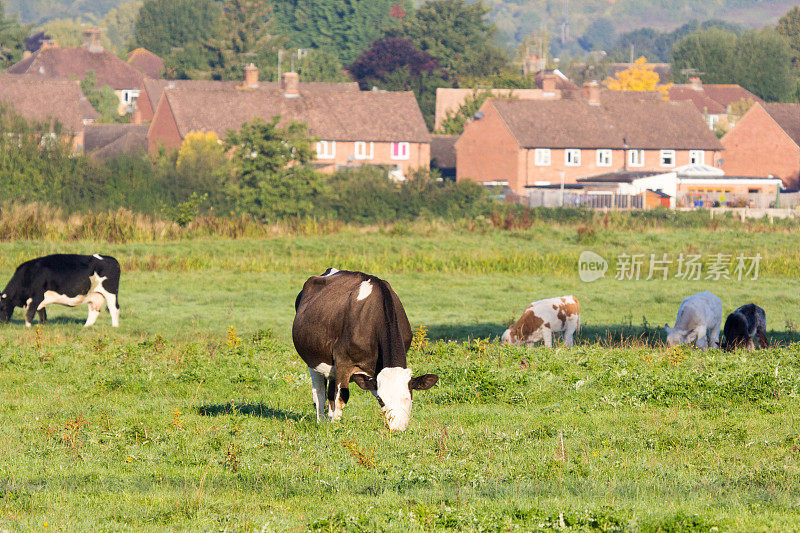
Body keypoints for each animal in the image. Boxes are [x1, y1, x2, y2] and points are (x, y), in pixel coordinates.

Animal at [292, 268, 438, 430]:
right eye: (381, 400)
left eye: (408, 397)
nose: (397, 428)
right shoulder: (343, 361)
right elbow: (341, 396)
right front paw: (336, 427)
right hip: (312, 358)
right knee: (319, 393)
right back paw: (322, 421)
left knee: (330, 392)